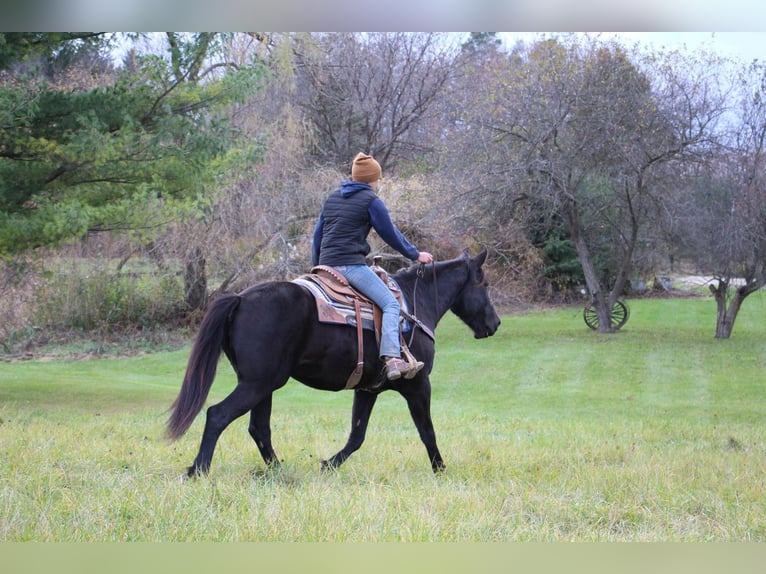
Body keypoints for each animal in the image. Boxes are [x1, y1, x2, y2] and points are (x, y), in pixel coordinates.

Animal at [168, 250, 500, 480]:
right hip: (257, 384)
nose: (495, 324)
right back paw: (199, 470)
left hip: (263, 386)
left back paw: (280, 473)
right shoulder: (418, 386)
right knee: (218, 415)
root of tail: (239, 299)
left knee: (259, 428)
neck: (413, 305)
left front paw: (327, 465)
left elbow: (357, 435)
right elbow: (427, 431)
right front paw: (441, 471)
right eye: (484, 284)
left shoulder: (367, 390)